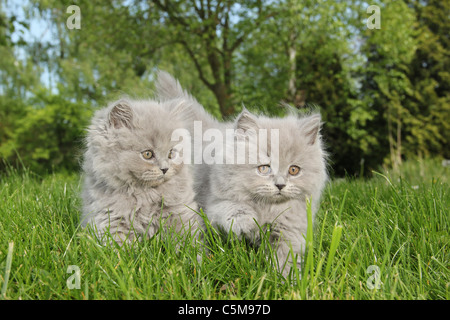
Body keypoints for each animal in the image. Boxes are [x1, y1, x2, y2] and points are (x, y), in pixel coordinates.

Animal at [81, 97, 202, 248]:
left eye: (171, 153)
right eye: (148, 154)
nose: (165, 169)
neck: (145, 193)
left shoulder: (180, 211)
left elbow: (186, 238)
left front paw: (194, 253)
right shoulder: (111, 218)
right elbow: (118, 248)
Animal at [155, 71, 326, 276]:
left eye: (294, 170)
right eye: (264, 168)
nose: (280, 185)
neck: (267, 207)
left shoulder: (291, 228)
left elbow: (286, 257)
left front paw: (283, 278)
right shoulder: (215, 203)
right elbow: (234, 209)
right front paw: (249, 225)